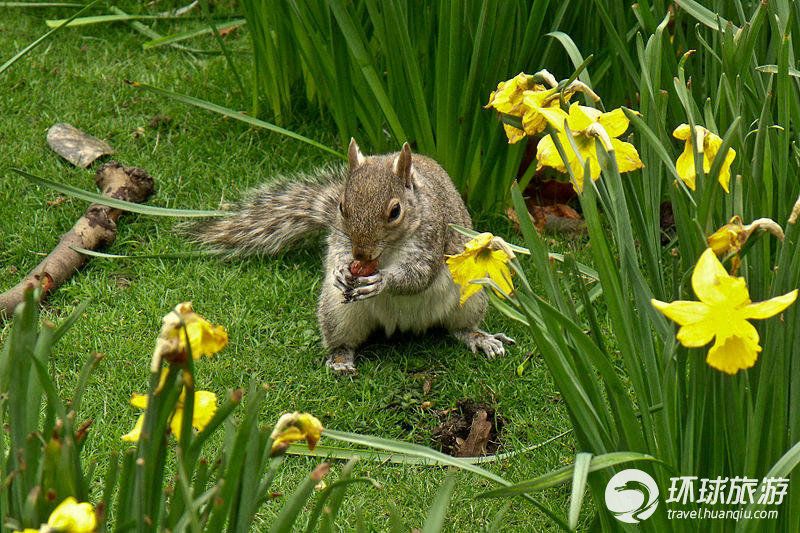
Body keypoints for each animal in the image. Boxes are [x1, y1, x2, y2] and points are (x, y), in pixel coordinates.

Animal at [192, 141, 512, 374]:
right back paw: (340, 359)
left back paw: (481, 339)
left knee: (461, 327)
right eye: (342, 206)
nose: (360, 254)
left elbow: (420, 274)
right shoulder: (340, 237)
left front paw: (382, 281)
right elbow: (335, 254)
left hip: (471, 296)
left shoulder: (434, 235)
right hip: (337, 311)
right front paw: (339, 270)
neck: (386, 251)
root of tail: (404, 326)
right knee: (343, 340)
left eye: (395, 211)